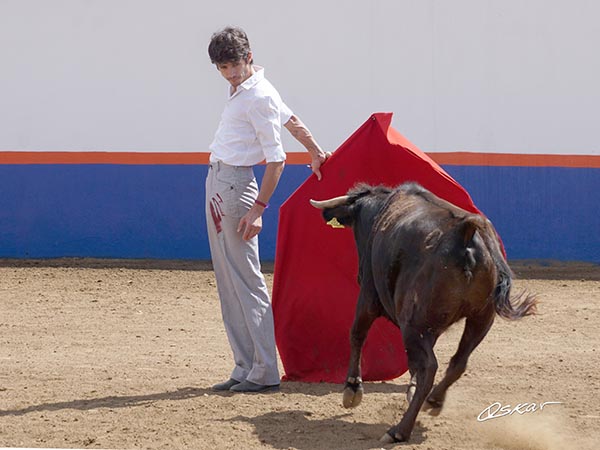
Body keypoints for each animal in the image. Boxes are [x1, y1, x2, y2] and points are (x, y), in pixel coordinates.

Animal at [312, 181, 536, 442]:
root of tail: (464, 233)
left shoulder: (368, 294)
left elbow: (357, 333)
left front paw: (352, 388)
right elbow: (414, 364)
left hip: (414, 323)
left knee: (429, 367)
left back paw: (399, 430)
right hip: (480, 319)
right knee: (458, 362)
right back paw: (433, 401)